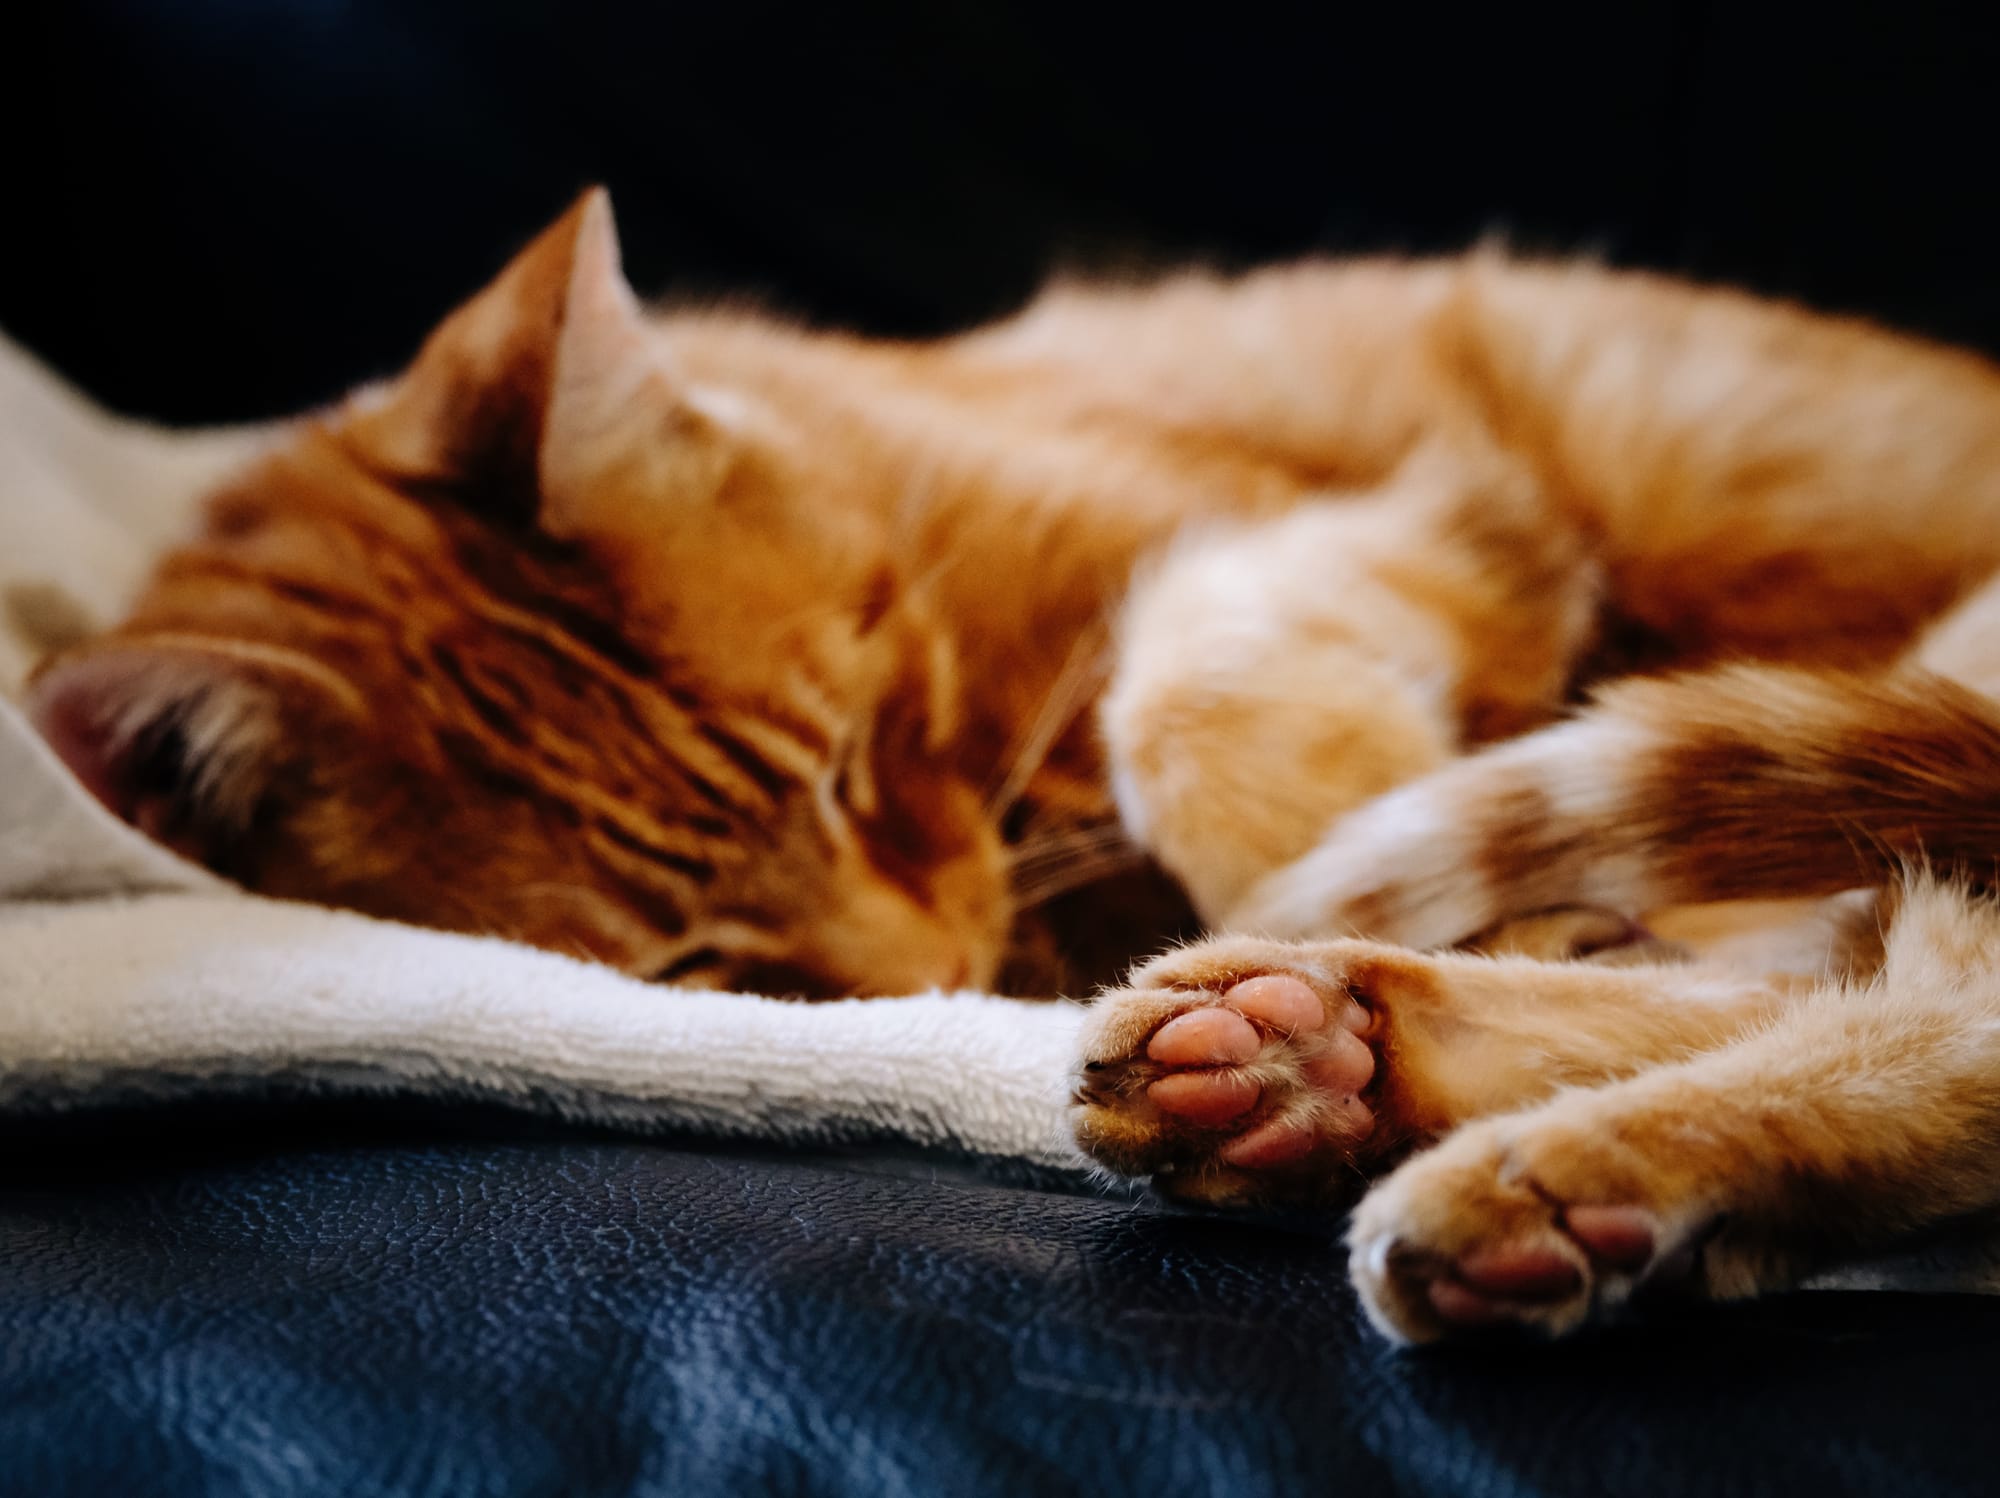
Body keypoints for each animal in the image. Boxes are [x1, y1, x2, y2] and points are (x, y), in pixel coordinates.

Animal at [31, 187, 2000, 1344]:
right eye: (701, 963)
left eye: (842, 762)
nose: (934, 974)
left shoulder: (1411, 517)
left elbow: (1202, 721)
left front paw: (1355, 866)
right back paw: (1329, 1071)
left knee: (1920, 992)